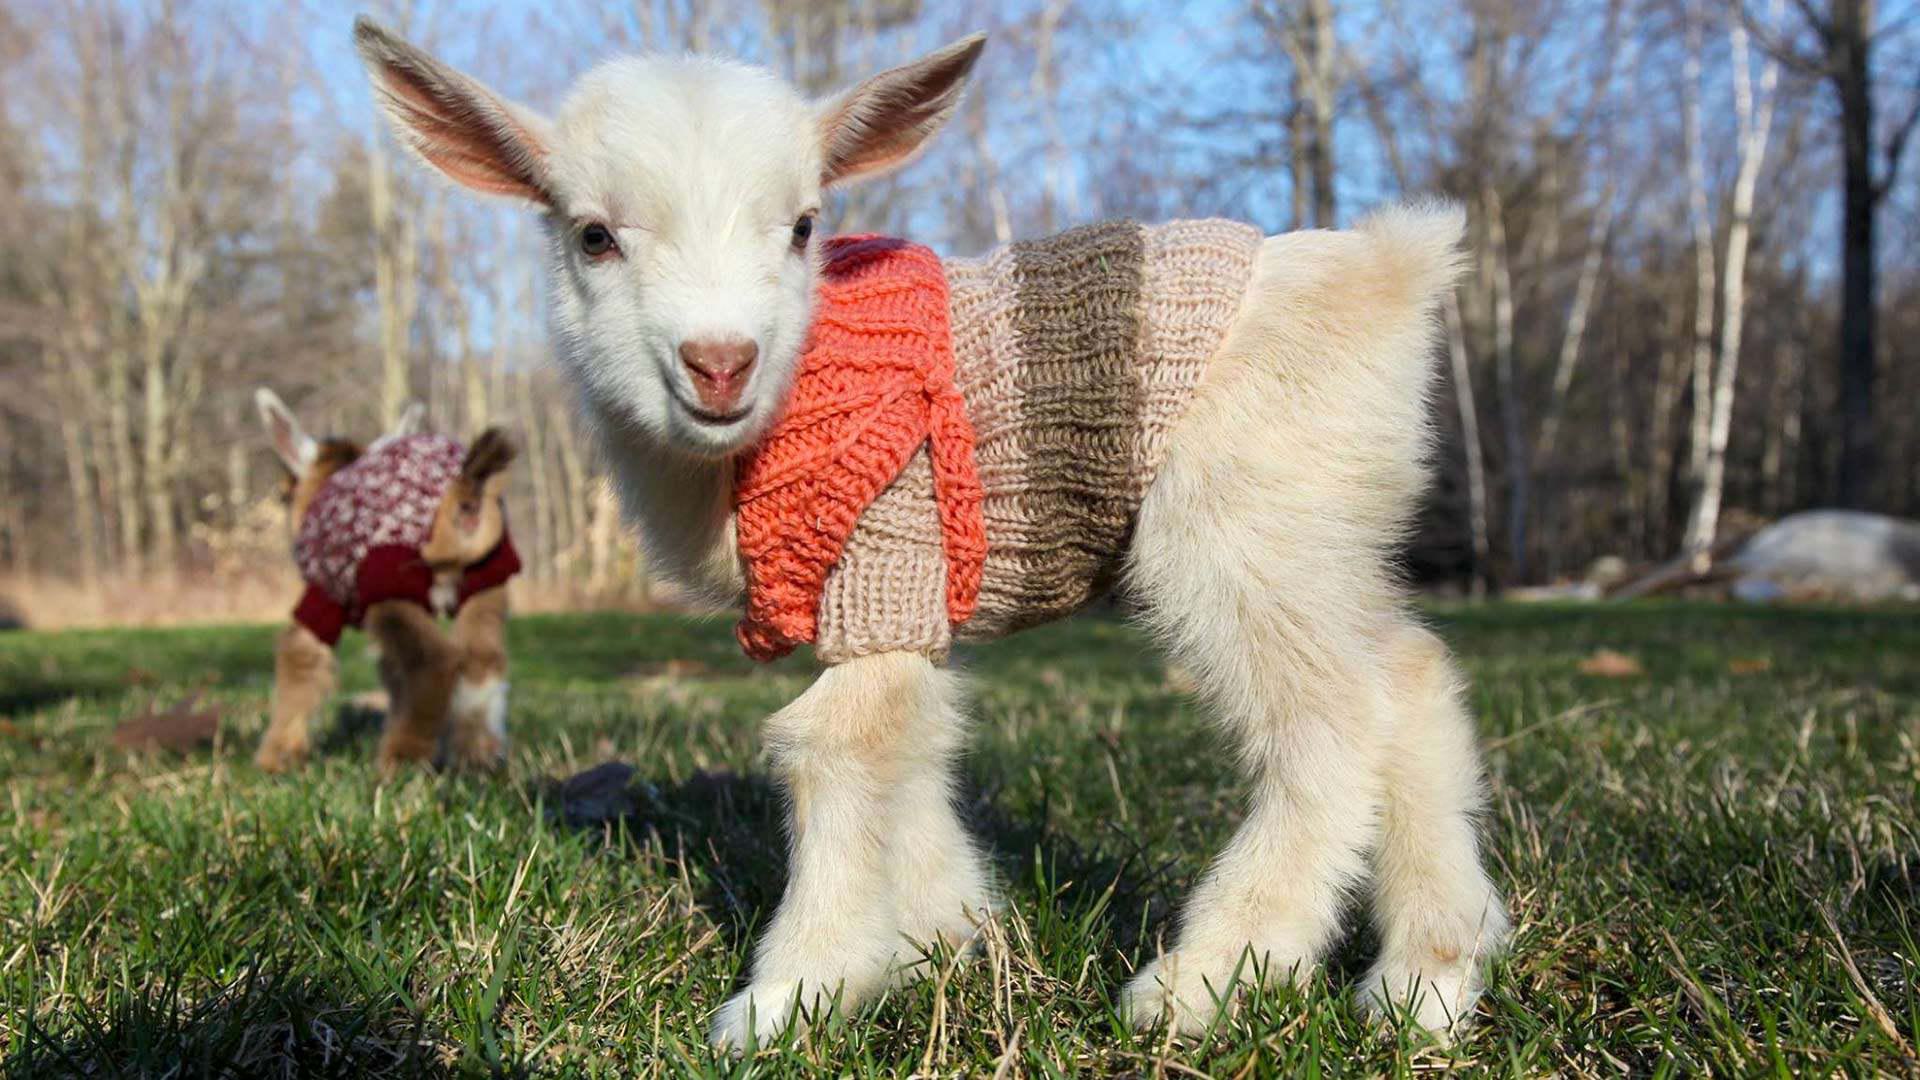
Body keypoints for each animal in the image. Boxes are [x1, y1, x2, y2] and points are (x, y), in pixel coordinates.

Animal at [259, 390, 526, 768]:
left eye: (284, 493)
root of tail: (462, 495)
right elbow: (391, 674)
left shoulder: (323, 598)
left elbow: (299, 658)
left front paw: (276, 758)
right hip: (487, 576)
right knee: (482, 658)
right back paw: (477, 756)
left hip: (388, 581)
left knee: (433, 661)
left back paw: (400, 761)